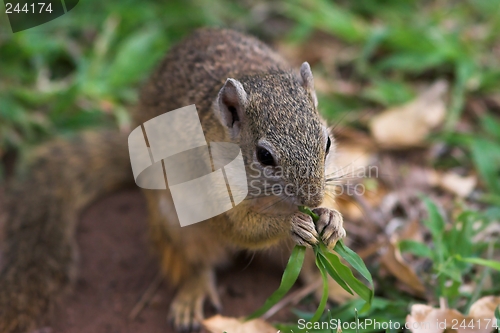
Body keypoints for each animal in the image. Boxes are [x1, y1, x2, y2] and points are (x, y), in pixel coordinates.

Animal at [0, 28, 344, 332]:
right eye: (264, 156)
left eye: (327, 142)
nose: (312, 199)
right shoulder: (210, 187)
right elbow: (239, 228)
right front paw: (292, 223)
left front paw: (331, 218)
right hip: (176, 225)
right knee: (196, 265)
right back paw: (192, 296)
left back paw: (333, 285)